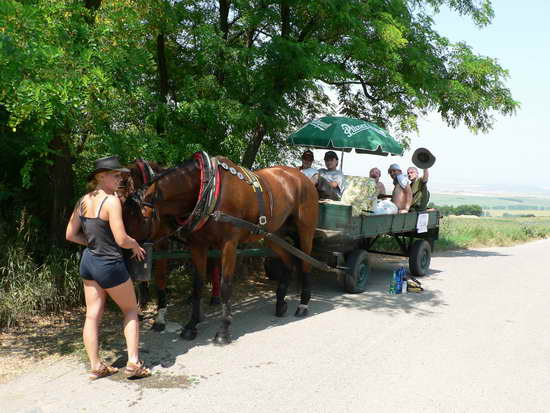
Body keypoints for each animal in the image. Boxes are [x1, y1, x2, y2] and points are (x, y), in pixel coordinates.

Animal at [122, 151, 316, 344]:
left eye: (140, 217)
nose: (123, 255)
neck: (208, 189)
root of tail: (302, 177)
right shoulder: (198, 245)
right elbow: (197, 284)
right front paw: (191, 325)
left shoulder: (229, 244)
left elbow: (225, 285)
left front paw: (223, 330)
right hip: (272, 234)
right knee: (289, 260)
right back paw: (281, 302)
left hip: (305, 229)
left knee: (307, 263)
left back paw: (303, 304)